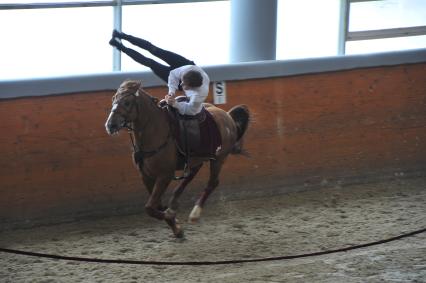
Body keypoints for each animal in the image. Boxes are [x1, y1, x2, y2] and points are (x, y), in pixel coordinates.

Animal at [104, 80, 250, 237]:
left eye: (127, 102)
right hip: (196, 159)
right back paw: (174, 203)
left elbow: (149, 207)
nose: (110, 125)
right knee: (190, 176)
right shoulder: (146, 176)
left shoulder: (164, 175)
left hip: (219, 158)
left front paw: (171, 217)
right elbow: (156, 205)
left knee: (212, 182)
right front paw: (176, 227)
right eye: (113, 98)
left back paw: (195, 213)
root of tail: (227, 116)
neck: (156, 131)